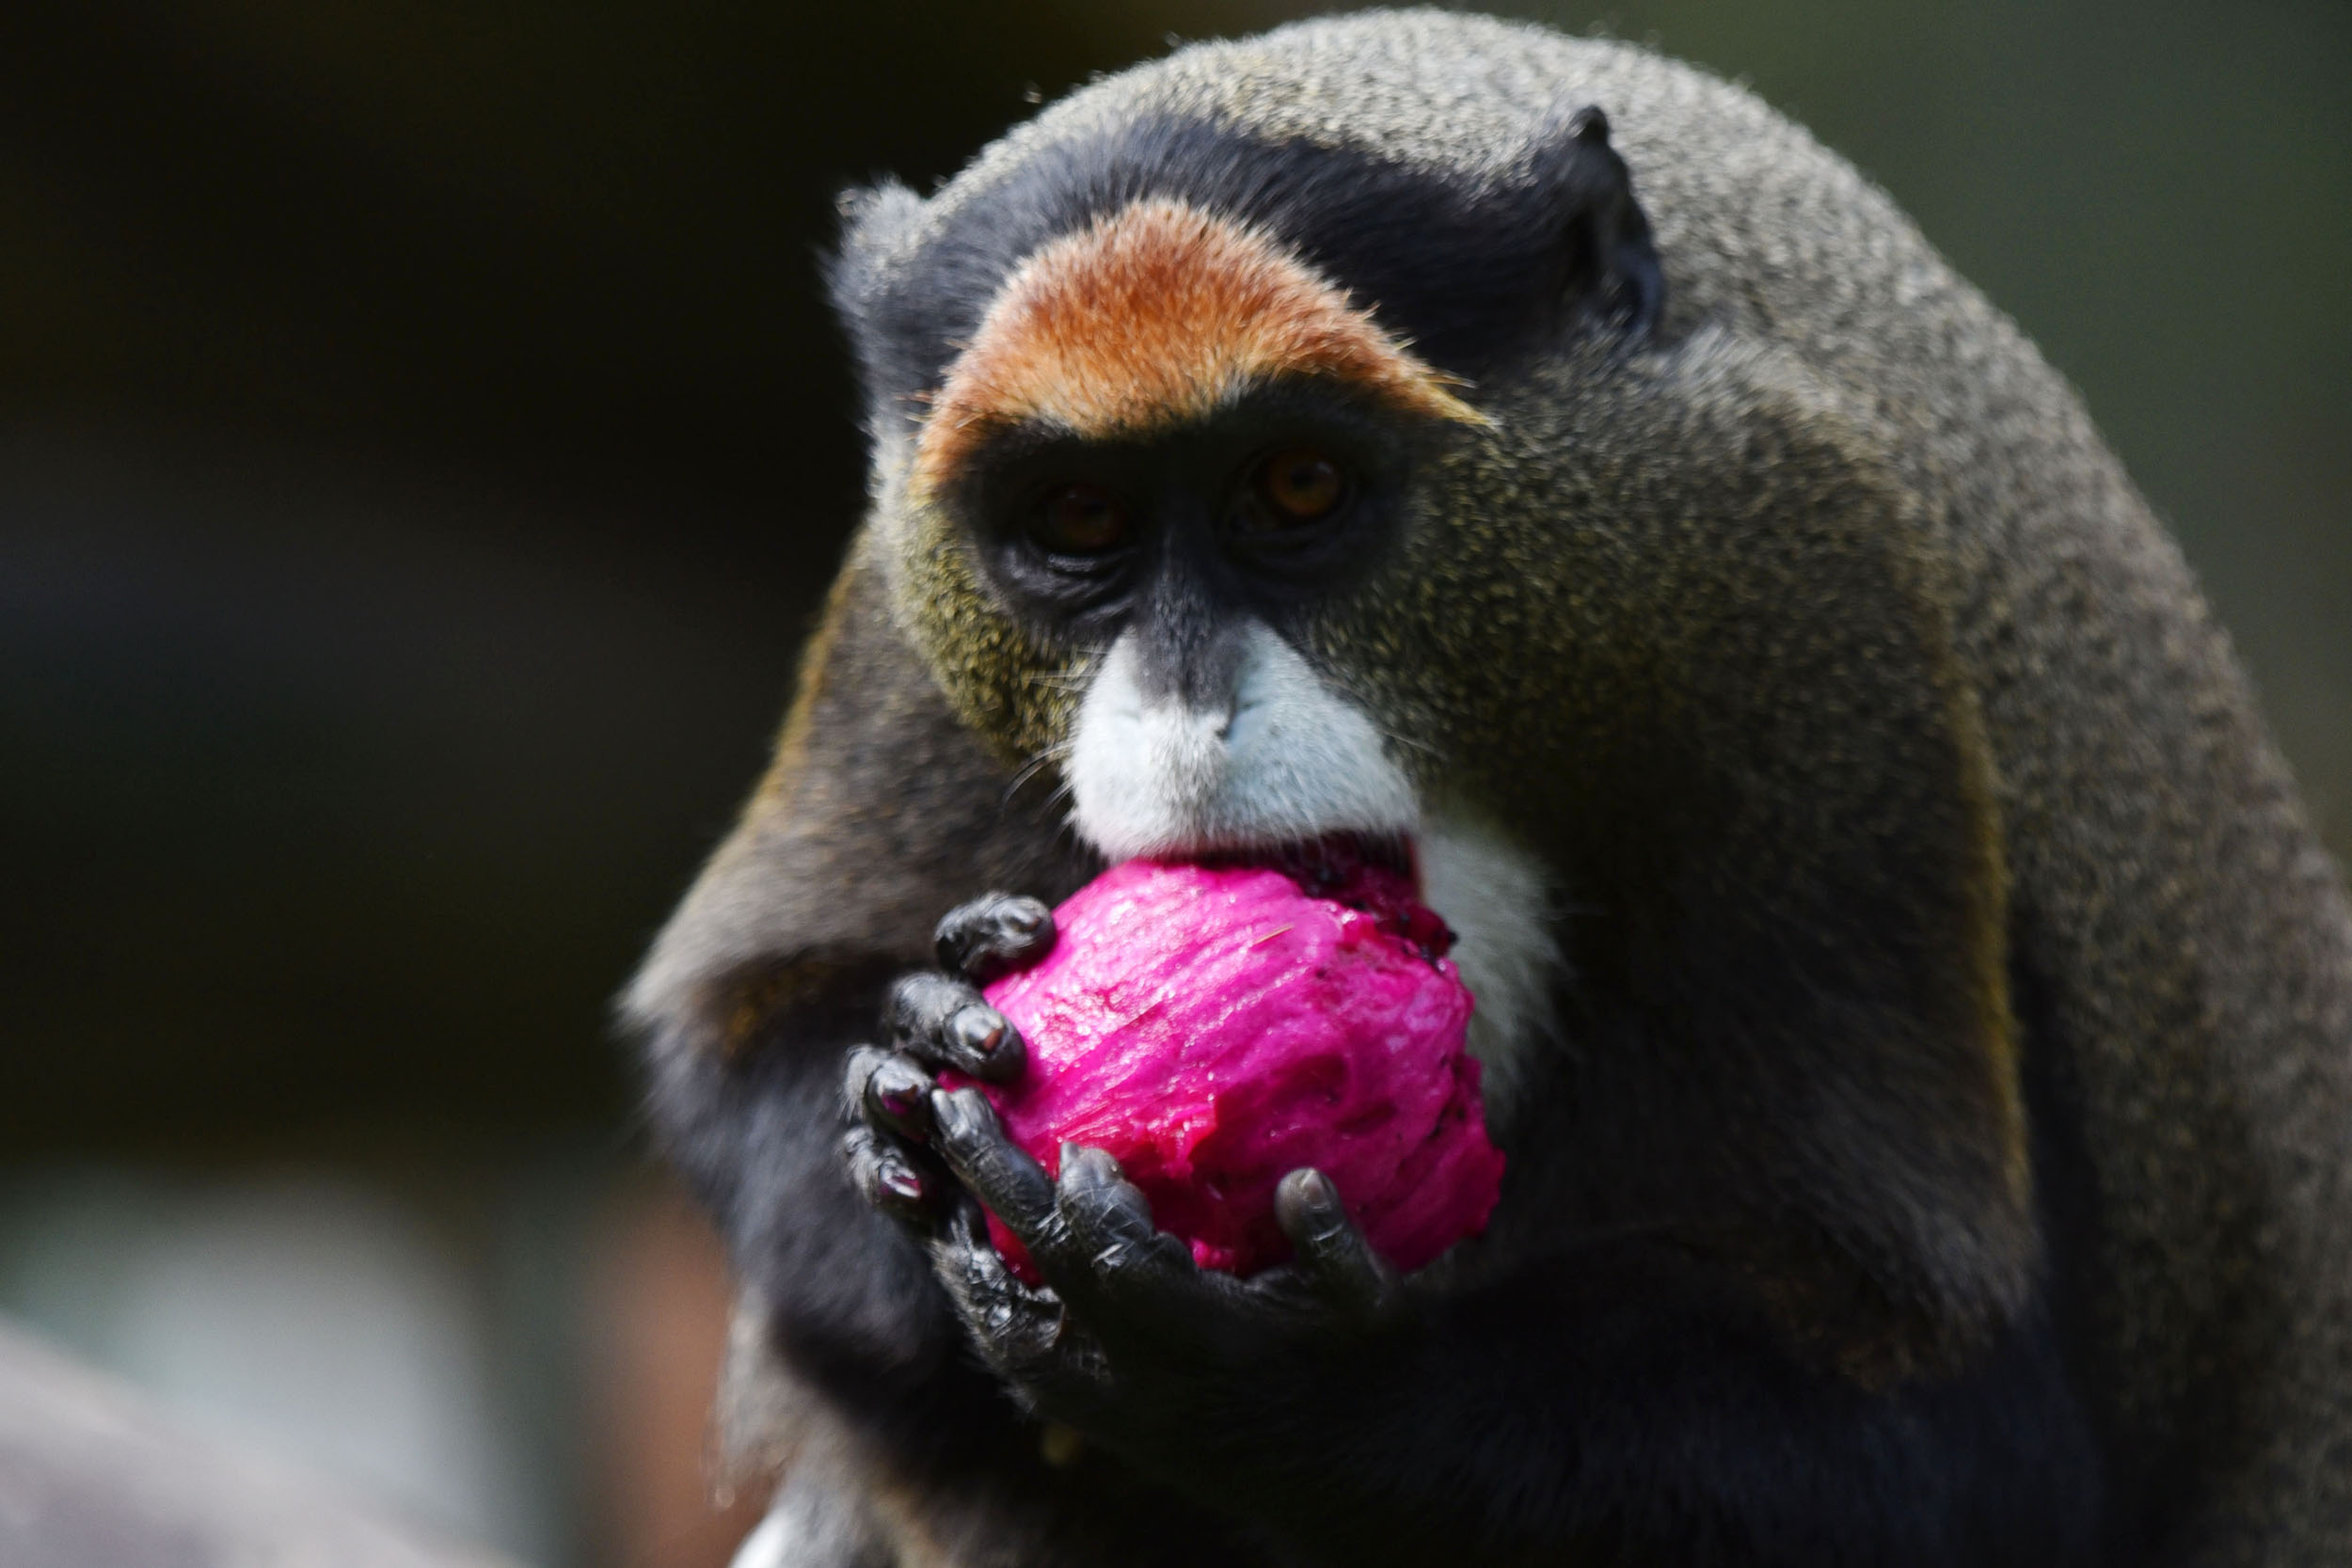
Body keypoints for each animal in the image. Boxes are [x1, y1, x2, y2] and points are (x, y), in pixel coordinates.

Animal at [621, 12, 2352, 1568]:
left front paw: (1282, 1373)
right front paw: (907, 1068)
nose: (1186, 719)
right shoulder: (894, 597)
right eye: (1080, 516)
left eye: (1298, 485)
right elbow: (731, 1048)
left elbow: (1961, 1432)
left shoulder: (1805, 572)